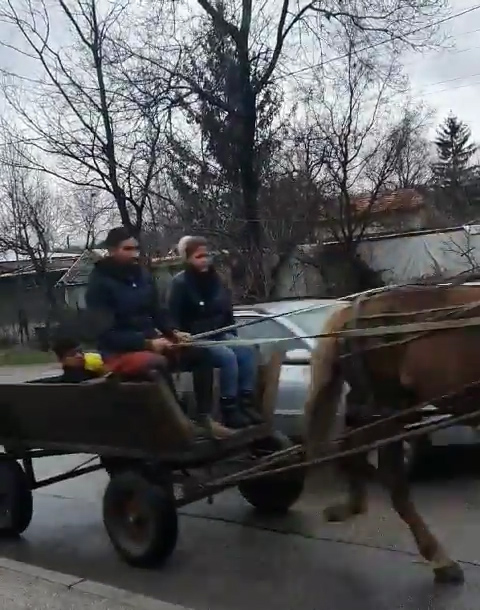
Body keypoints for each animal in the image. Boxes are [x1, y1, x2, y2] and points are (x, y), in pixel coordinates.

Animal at [304, 282, 480, 584]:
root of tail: (353, 310)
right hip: (389, 404)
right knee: (392, 477)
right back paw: (439, 558)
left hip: (386, 406)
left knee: (352, 446)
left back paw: (352, 503)